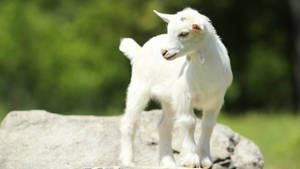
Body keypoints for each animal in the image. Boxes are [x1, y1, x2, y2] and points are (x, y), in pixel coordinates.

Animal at [119, 7, 232, 169]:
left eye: (184, 33)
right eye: (169, 30)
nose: (164, 52)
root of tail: (139, 51)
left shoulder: (216, 100)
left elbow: (208, 125)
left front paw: (205, 159)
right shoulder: (184, 96)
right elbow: (189, 122)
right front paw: (191, 159)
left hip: (168, 100)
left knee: (163, 126)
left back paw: (168, 162)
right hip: (138, 87)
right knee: (129, 122)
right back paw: (128, 160)